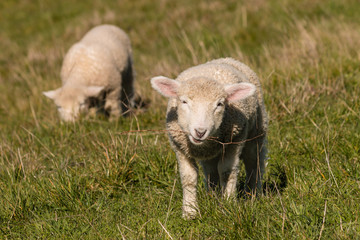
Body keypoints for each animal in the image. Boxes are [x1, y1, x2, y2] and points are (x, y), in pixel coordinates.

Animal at [151, 58, 268, 219]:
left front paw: (228, 204)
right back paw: (212, 196)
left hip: (256, 133)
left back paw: (252, 194)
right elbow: (188, 177)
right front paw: (190, 212)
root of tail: (225, 59)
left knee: (254, 163)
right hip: (210, 155)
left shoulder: (234, 142)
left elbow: (227, 172)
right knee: (211, 171)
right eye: (184, 102)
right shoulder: (180, 147)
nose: (200, 132)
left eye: (219, 104)